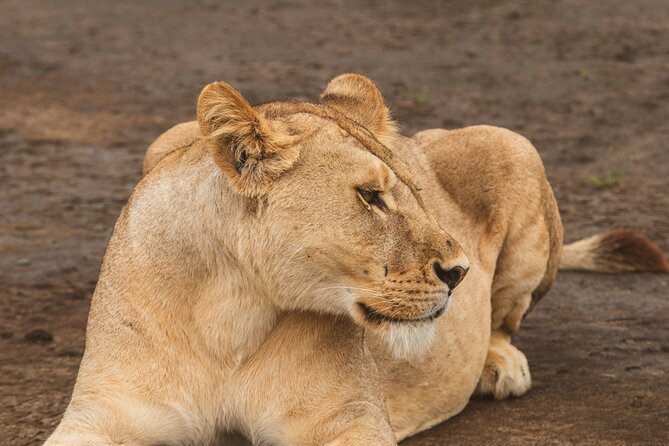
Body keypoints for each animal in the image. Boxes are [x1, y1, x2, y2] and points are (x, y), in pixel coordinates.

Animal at [44, 74, 669, 445]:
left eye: (415, 191)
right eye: (370, 197)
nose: (460, 272)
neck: (229, 311)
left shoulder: (349, 420)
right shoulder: (103, 414)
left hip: (513, 145)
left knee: (505, 320)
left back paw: (498, 365)